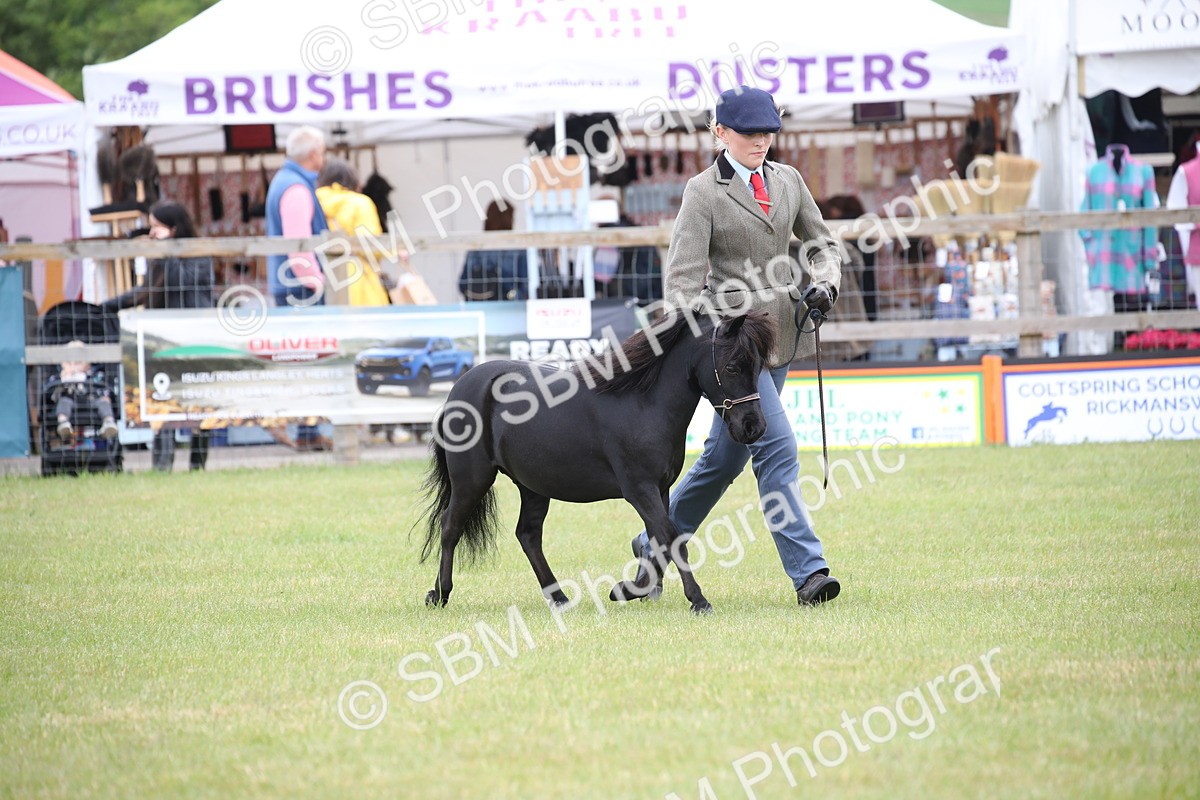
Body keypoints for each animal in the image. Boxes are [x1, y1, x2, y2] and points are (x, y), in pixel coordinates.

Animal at [416, 308, 775, 614]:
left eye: (758, 366)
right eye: (732, 367)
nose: (753, 427)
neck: (643, 403)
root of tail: (460, 389)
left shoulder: (659, 489)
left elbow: (660, 540)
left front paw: (629, 589)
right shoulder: (639, 489)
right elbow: (671, 538)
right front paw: (698, 600)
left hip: (532, 486)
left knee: (528, 535)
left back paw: (559, 598)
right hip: (472, 479)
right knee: (450, 527)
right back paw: (440, 593)